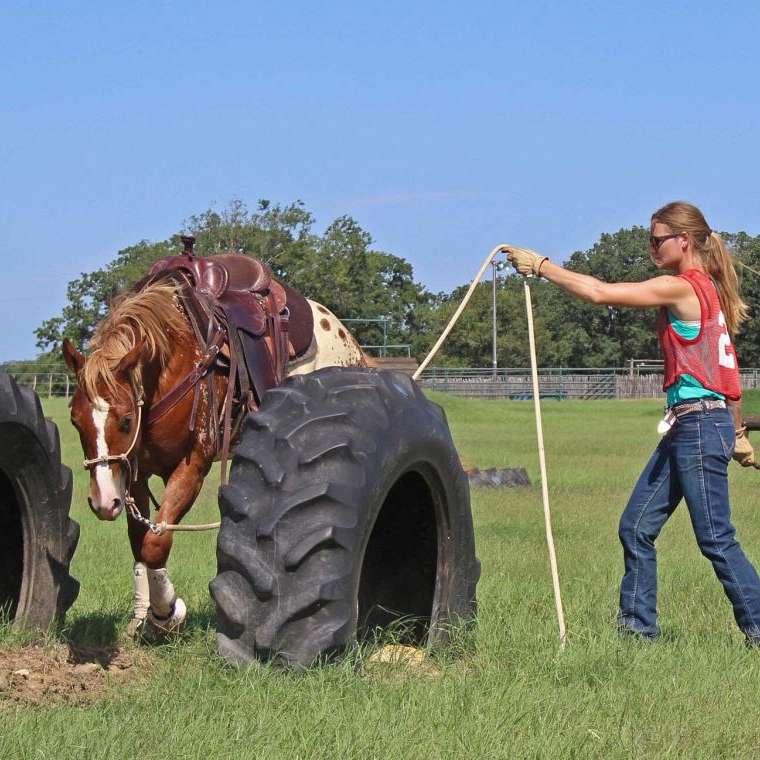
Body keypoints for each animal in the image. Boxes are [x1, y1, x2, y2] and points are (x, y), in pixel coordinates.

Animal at [62, 267, 368, 640]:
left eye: (125, 420)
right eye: (75, 420)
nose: (103, 502)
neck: (174, 364)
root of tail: (344, 335)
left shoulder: (192, 466)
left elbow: (156, 542)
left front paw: (166, 614)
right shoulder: (136, 473)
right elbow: (139, 541)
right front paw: (141, 615)